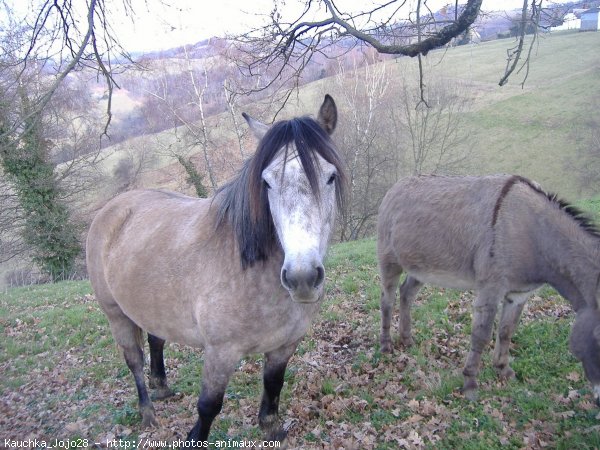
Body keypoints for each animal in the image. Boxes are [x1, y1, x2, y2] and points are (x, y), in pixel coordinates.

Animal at [85, 95, 346, 442]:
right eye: (266, 182)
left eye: (330, 176)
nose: (301, 278)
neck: (249, 272)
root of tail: (111, 208)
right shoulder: (220, 353)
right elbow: (209, 406)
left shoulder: (284, 346)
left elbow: (273, 385)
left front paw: (271, 426)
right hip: (116, 315)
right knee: (134, 361)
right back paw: (147, 411)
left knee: (156, 340)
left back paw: (162, 388)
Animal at [378, 174, 600, 402]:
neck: (534, 236)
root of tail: (396, 186)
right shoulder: (490, 290)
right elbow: (481, 336)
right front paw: (470, 384)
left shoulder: (519, 294)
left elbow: (506, 331)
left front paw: (503, 369)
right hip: (390, 261)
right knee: (387, 301)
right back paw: (386, 345)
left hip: (422, 267)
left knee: (406, 294)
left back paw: (407, 339)